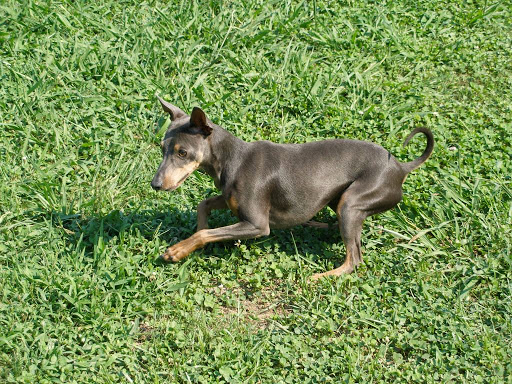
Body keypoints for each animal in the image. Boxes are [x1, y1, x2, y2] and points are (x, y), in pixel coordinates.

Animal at [151, 95, 432, 276]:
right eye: (162, 148)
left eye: (183, 153)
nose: (155, 184)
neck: (234, 159)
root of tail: (401, 167)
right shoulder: (229, 199)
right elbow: (203, 208)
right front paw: (193, 244)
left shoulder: (256, 224)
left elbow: (205, 233)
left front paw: (178, 250)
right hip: (341, 201)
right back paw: (313, 224)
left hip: (352, 203)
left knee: (354, 259)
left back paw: (320, 277)